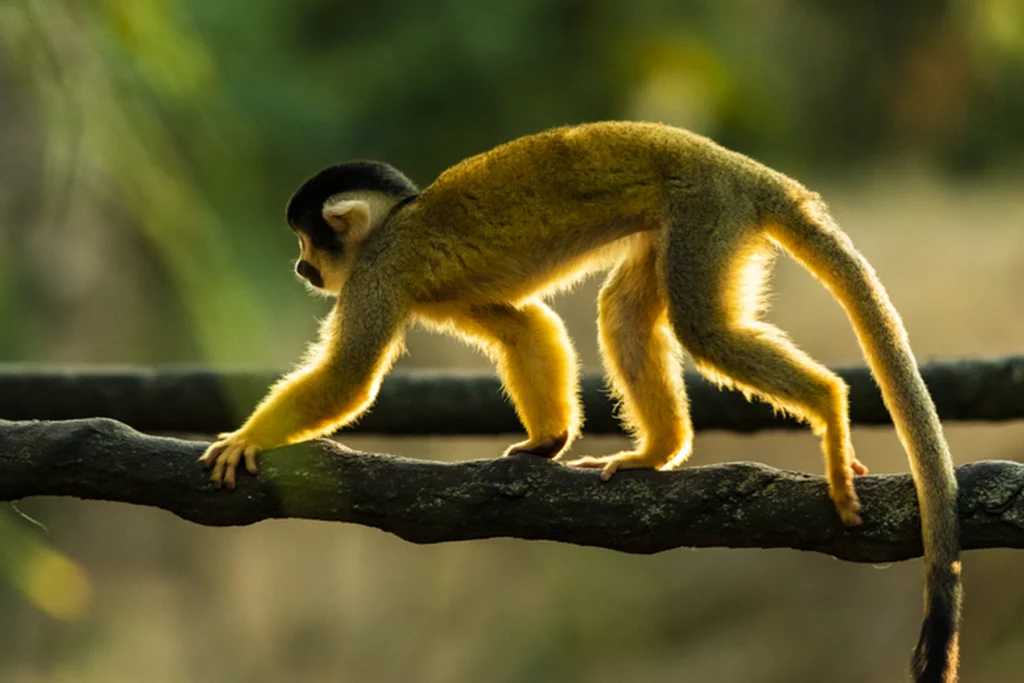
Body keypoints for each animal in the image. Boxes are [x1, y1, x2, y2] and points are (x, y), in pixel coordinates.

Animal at [197, 121, 958, 679]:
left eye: (307, 241)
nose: (302, 267)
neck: (394, 225)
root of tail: (752, 173)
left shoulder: (379, 274)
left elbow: (351, 377)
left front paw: (247, 439)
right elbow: (525, 326)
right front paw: (548, 442)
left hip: (707, 214)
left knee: (702, 328)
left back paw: (827, 405)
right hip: (688, 223)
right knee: (622, 311)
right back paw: (658, 451)